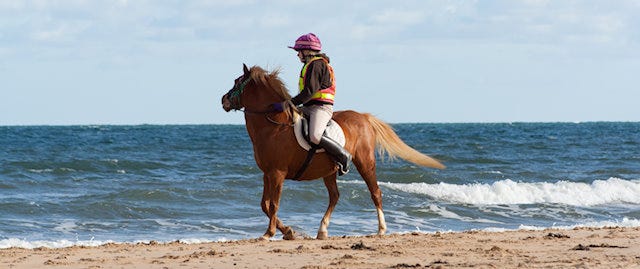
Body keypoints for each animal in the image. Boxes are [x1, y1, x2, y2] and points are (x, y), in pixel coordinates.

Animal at [221, 64, 444, 239]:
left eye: (236, 81)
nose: (223, 100)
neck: (273, 127)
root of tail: (363, 117)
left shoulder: (278, 173)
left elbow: (273, 204)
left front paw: (269, 233)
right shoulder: (267, 174)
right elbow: (264, 204)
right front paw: (289, 231)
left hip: (365, 163)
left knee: (375, 193)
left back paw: (381, 229)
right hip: (328, 171)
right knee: (335, 196)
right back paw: (322, 230)